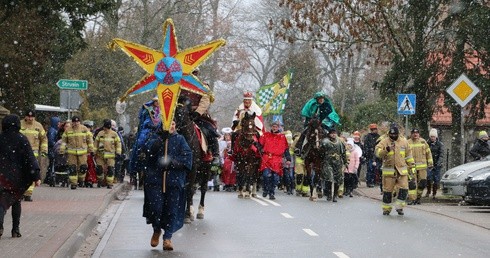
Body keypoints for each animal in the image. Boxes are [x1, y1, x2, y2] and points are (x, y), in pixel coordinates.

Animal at [174, 95, 212, 223]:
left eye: (181, 113)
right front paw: (185, 213)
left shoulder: (193, 168)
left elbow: (189, 189)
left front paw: (186, 215)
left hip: (206, 169)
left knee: (203, 188)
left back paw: (200, 211)